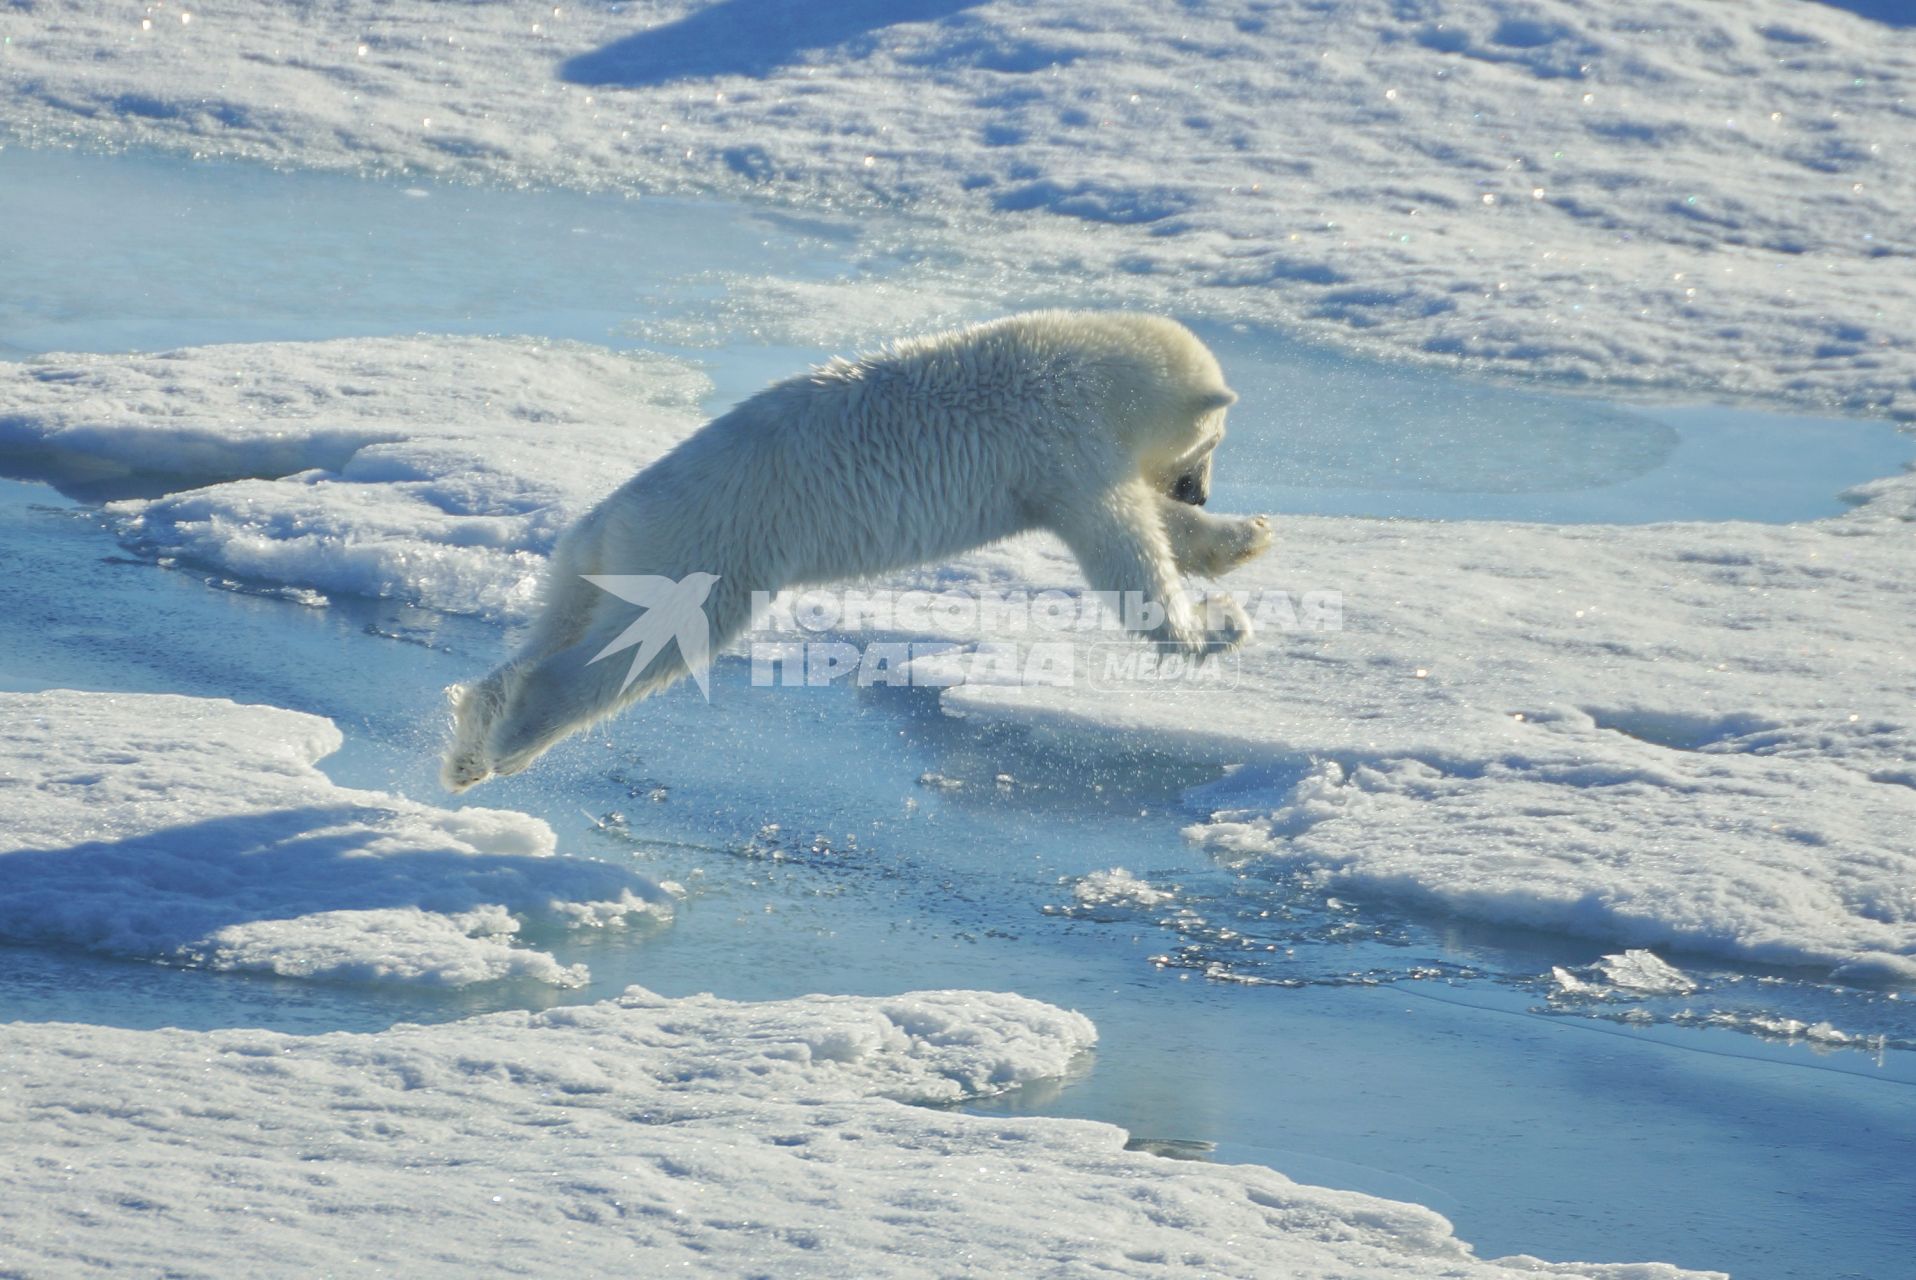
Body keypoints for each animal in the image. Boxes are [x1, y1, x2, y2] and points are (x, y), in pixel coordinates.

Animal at [440, 310, 1264, 789]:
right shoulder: (1061, 438)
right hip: (704, 548)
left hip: (591, 562)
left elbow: (1140, 522)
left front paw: (1244, 540)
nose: (1201, 493)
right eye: (1213, 440)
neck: (1084, 371)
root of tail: (612, 515)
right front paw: (1213, 626)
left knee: (553, 627)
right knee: (645, 646)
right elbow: (1121, 543)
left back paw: (470, 740)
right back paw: (508, 744)